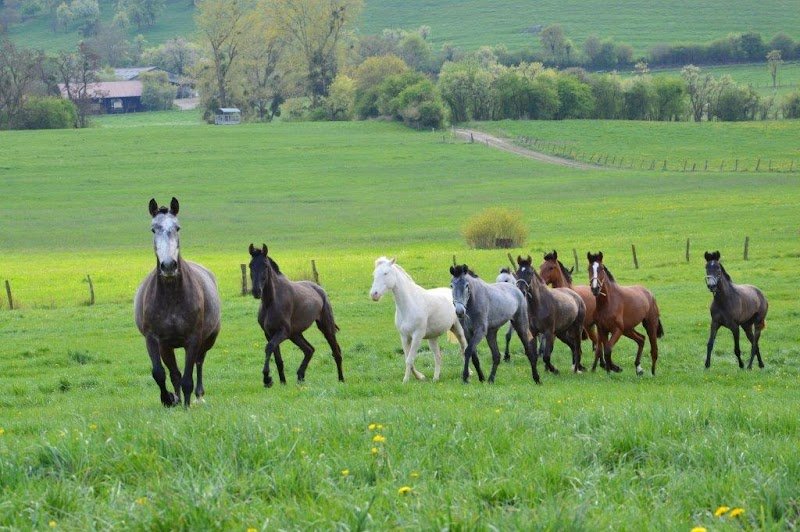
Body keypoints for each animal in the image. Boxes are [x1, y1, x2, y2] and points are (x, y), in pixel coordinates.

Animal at [134, 198, 221, 408]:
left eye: (177, 227)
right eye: (153, 229)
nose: (168, 266)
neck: (171, 298)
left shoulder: (193, 338)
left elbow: (188, 377)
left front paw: (186, 405)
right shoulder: (154, 339)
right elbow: (160, 373)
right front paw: (169, 399)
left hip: (207, 340)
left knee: (199, 362)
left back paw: (198, 395)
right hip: (167, 347)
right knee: (174, 373)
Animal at [248, 244, 344, 386]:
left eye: (265, 265)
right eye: (250, 265)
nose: (256, 291)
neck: (271, 302)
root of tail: (319, 289)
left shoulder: (282, 332)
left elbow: (269, 347)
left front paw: (267, 379)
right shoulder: (269, 333)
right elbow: (277, 359)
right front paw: (282, 382)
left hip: (325, 327)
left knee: (336, 352)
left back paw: (341, 379)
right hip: (295, 334)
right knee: (309, 350)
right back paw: (300, 377)